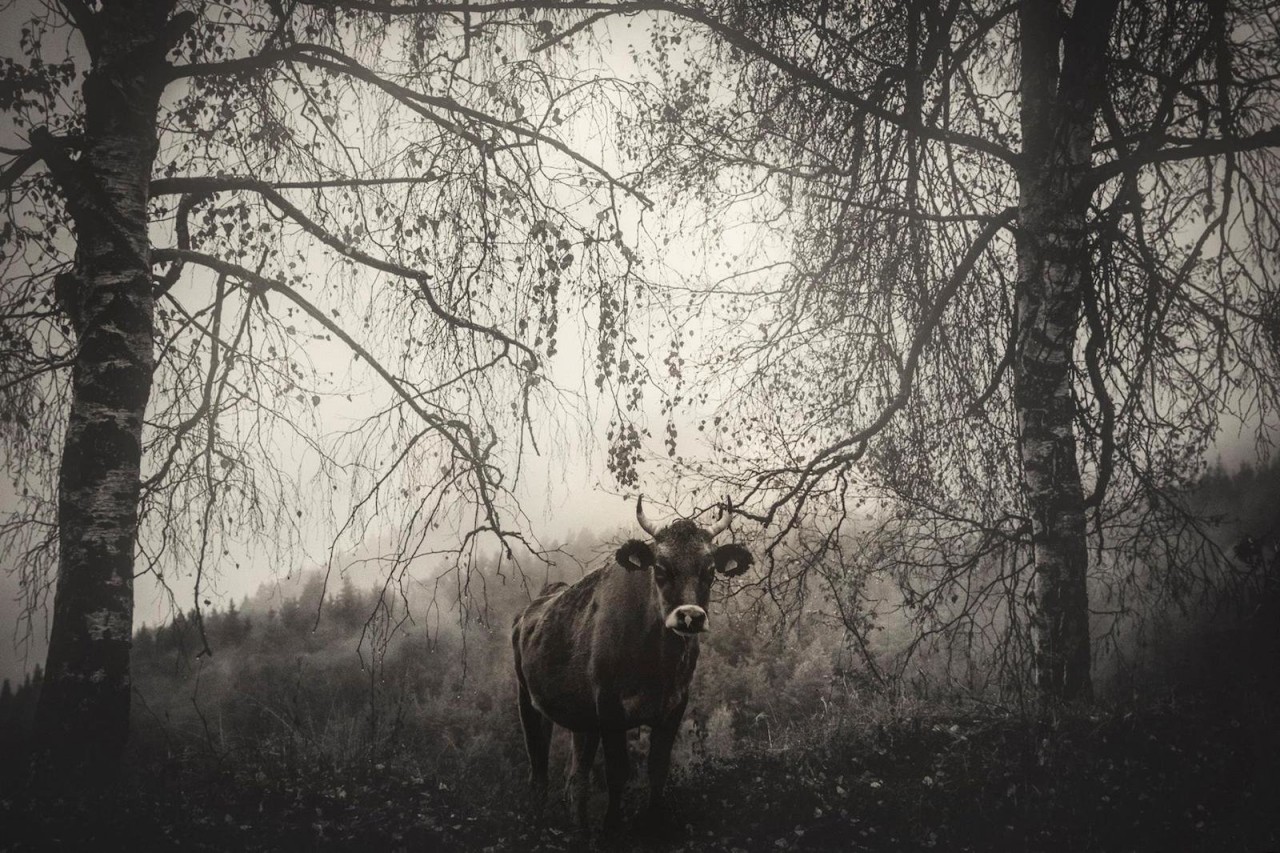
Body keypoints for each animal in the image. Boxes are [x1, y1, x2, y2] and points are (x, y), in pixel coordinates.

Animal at [509, 494, 747, 824]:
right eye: (660, 569)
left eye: (710, 572)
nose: (690, 617)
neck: (657, 662)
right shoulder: (609, 707)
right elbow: (617, 773)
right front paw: (611, 825)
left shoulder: (674, 705)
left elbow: (658, 770)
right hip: (528, 702)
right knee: (539, 773)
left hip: (581, 719)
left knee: (576, 779)